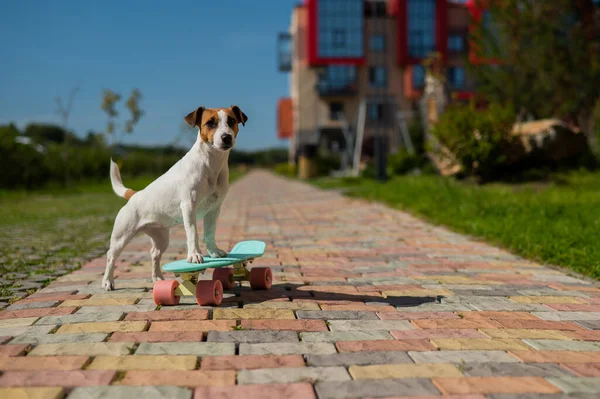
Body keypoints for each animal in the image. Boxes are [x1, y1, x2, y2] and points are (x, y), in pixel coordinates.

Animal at [102, 105, 247, 290]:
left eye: (232, 121)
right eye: (210, 123)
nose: (226, 137)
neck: (211, 164)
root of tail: (134, 195)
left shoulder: (214, 208)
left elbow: (209, 232)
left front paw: (214, 252)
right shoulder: (189, 206)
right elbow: (193, 233)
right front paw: (195, 255)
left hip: (161, 237)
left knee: (154, 254)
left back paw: (157, 277)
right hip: (122, 236)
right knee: (110, 256)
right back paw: (108, 281)